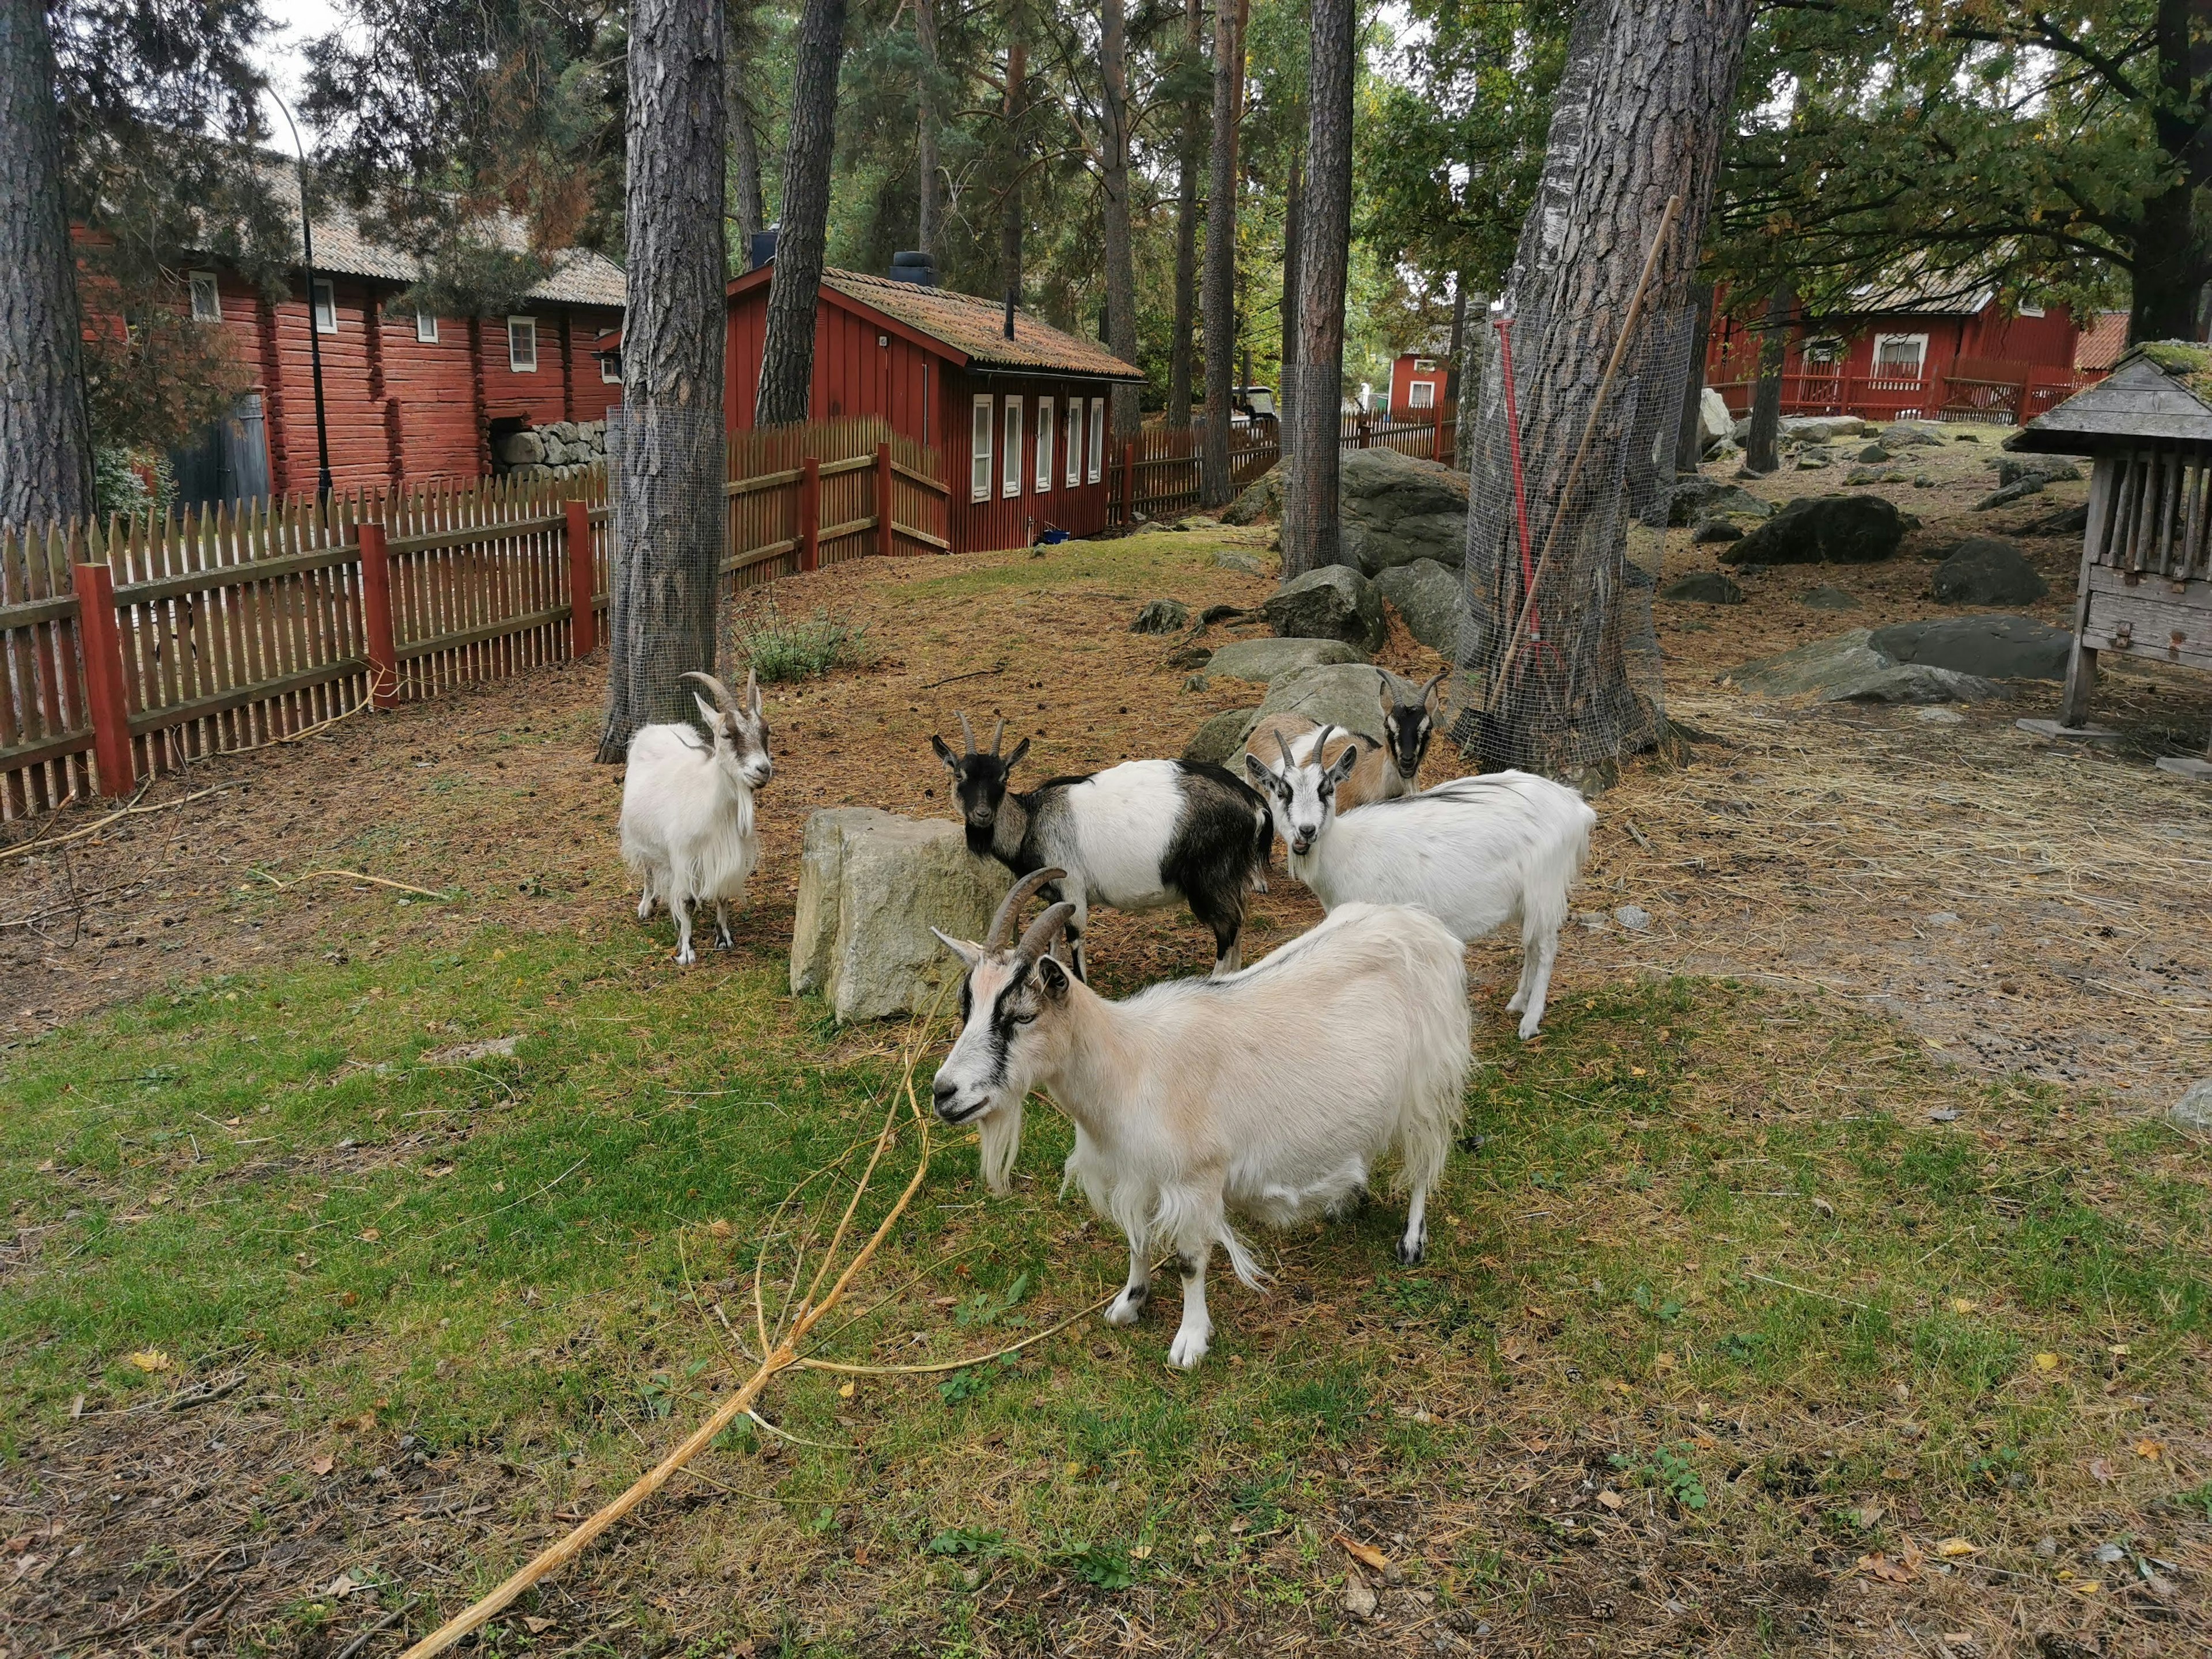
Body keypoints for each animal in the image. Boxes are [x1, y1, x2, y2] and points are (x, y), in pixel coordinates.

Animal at [619, 672, 774, 968]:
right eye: (727, 734)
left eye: (766, 732)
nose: (764, 770)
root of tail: (660, 727)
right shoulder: (684, 856)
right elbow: (687, 900)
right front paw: (686, 951)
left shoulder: (727, 856)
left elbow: (723, 894)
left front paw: (724, 938)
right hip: (640, 835)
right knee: (647, 869)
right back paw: (646, 906)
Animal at [929, 712, 1274, 982]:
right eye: (959, 775)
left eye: (1003, 776)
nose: (982, 814)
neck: (1031, 821)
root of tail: (1254, 803)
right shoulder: (1055, 896)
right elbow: (1052, 943)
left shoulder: (1072, 888)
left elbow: (1075, 940)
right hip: (1232, 877)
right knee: (1241, 922)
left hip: (1211, 879)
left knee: (1227, 927)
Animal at [929, 871, 1468, 1380]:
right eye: (966, 1007)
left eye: (1022, 1016)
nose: (943, 1093)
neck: (1128, 1065)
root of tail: (1421, 925)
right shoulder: (1133, 1174)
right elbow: (1137, 1240)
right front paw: (1129, 1304)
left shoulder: (1196, 1180)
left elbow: (1191, 1261)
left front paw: (1190, 1342)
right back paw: (1345, 1200)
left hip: (1427, 1083)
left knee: (1425, 1162)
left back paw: (1411, 1242)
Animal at [1247, 725, 1592, 1039]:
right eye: (1282, 793)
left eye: (1327, 790)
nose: (1306, 831)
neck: (1344, 848)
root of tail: (1576, 806)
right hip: (1528, 899)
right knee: (1532, 944)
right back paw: (1517, 1002)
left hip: (1545, 887)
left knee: (1546, 948)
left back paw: (1530, 1022)